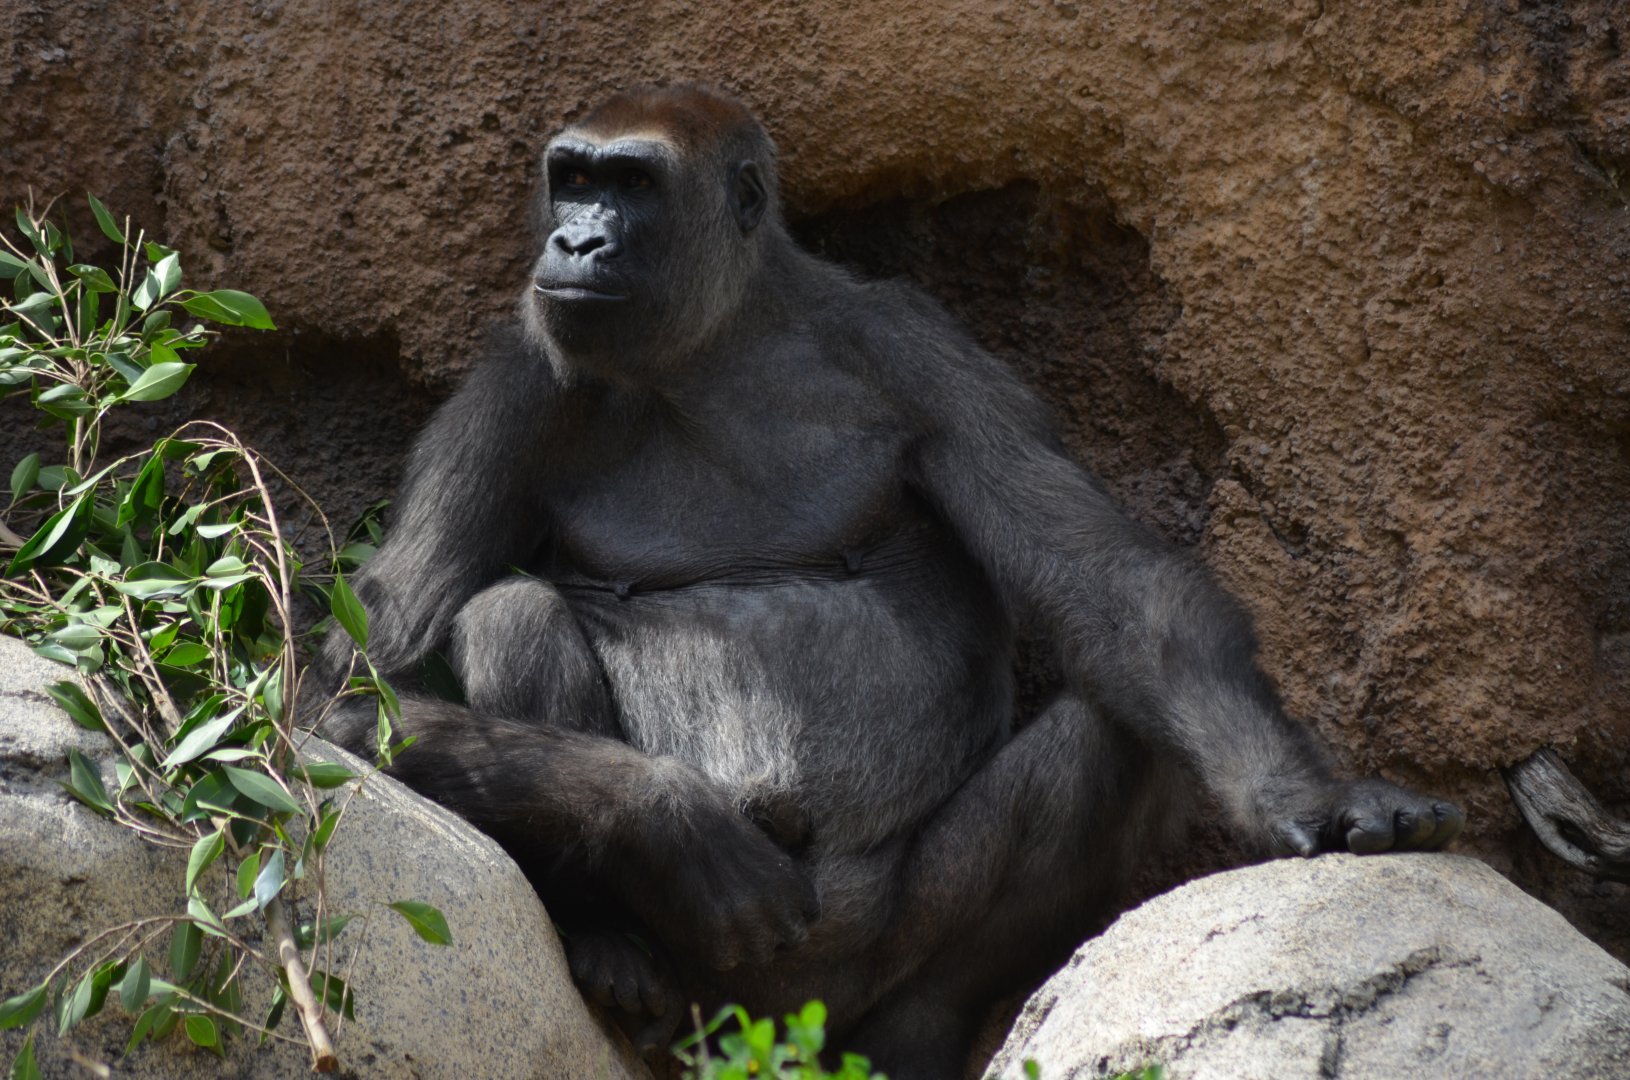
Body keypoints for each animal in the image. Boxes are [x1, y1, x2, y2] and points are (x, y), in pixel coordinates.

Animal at [314, 85, 1463, 1079]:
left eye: (630, 185)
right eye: (571, 179)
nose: (576, 241)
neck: (724, 341)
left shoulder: (919, 351)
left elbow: (1122, 605)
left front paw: (1312, 798)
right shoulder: (514, 375)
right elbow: (352, 689)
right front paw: (671, 817)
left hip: (851, 973)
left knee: (1109, 739)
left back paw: (920, 1028)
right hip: (715, 1007)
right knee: (510, 618)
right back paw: (607, 940)